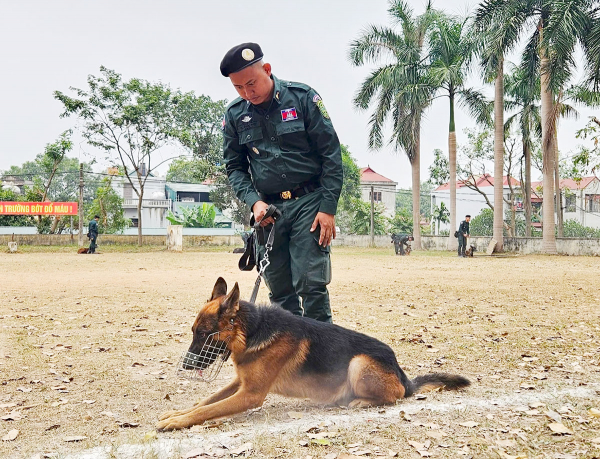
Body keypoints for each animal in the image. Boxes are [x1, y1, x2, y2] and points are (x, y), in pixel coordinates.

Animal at [156, 278, 474, 434]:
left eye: (203, 334)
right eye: (193, 332)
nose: (185, 366)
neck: (253, 329)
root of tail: (403, 376)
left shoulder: (250, 394)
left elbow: (208, 410)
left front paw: (177, 422)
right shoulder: (240, 384)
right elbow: (204, 402)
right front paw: (176, 413)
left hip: (358, 363)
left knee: (393, 397)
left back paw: (360, 401)